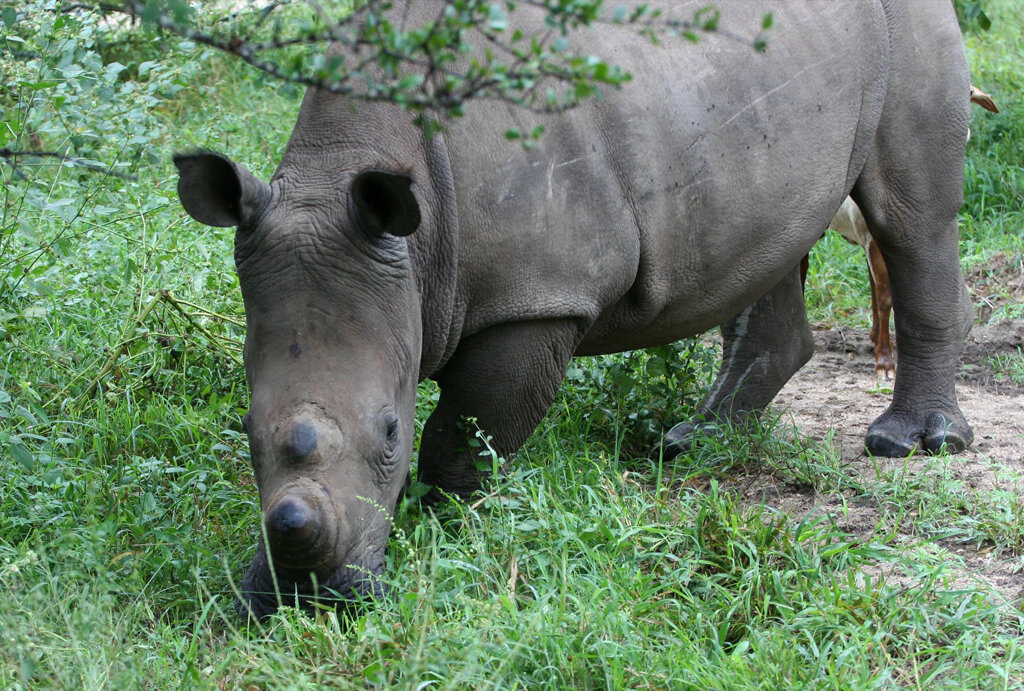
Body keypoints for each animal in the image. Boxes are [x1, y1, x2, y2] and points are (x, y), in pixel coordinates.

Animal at [175, 0, 975, 617]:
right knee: (771, 236)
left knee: (911, 219)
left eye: (389, 432)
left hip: (910, 25)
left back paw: (914, 443)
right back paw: (693, 443)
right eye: (244, 429)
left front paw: (445, 530)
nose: (306, 598)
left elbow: (467, 431)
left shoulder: (535, 298)